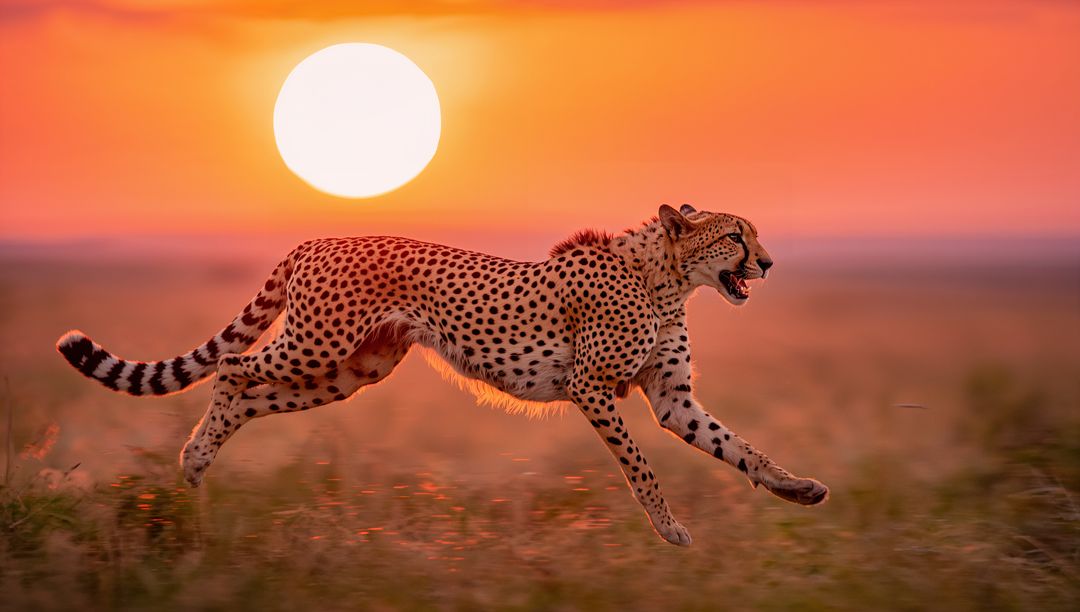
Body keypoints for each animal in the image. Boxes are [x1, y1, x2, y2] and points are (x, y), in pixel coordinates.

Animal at [57, 204, 828, 546]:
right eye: (735, 236)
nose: (767, 263)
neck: (665, 279)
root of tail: (320, 236)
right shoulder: (590, 388)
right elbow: (639, 465)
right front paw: (669, 529)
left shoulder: (671, 397)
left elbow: (737, 445)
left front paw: (796, 488)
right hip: (315, 344)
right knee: (230, 368)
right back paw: (192, 460)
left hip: (350, 371)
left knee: (250, 393)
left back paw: (196, 467)